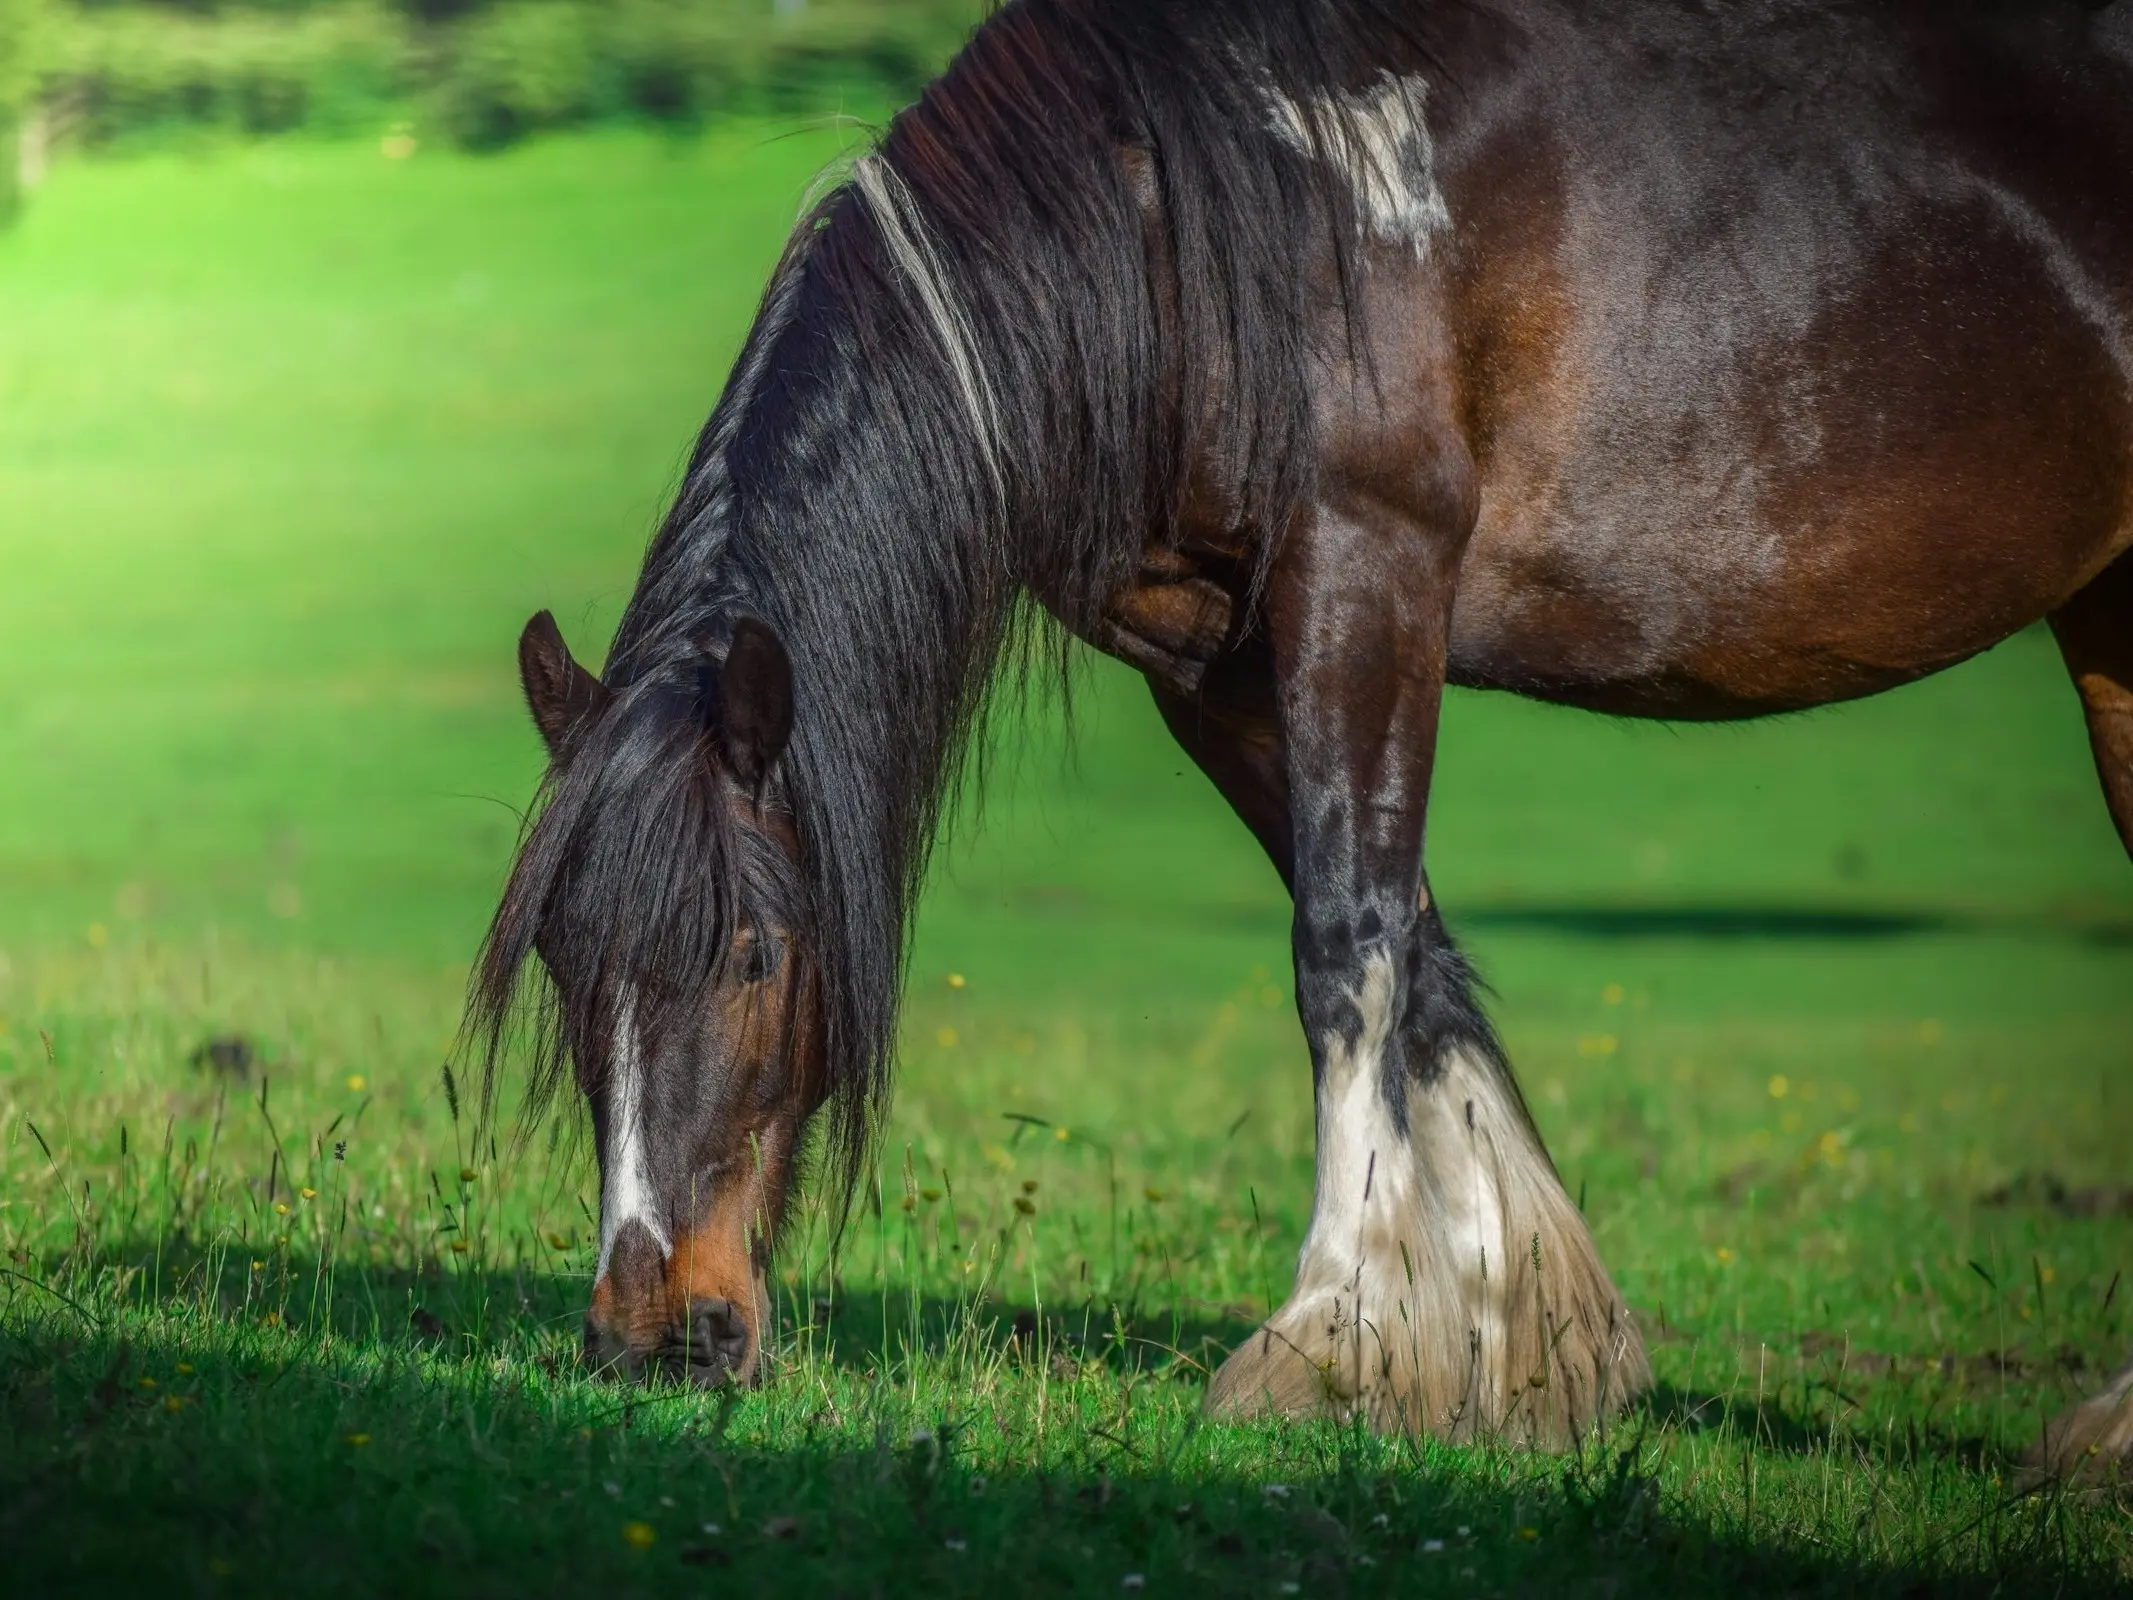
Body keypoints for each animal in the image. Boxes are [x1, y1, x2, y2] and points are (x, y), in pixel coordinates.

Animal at [467, 0, 2133, 1476]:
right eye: (561, 957)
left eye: (754, 954)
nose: (652, 1329)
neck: (1191, 212)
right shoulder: (1216, 667)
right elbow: (1413, 948)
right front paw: (1519, 1348)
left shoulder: (1366, 566)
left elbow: (1346, 949)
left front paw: (1328, 1338)